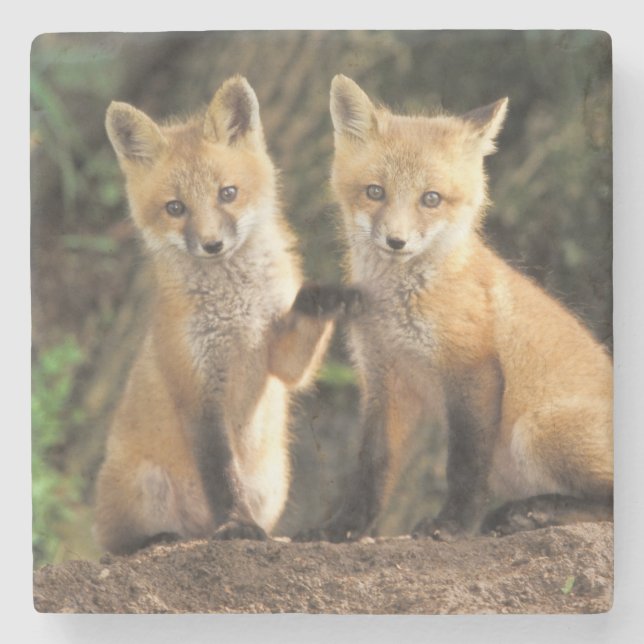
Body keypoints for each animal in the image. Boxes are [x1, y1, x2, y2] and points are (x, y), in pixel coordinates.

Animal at [94, 75, 360, 554]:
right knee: (119, 544)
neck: (236, 310)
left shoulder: (280, 359)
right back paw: (161, 539)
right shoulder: (198, 391)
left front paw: (323, 298)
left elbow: (298, 347)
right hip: (145, 487)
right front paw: (236, 524)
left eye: (228, 193)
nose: (212, 245)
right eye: (175, 208)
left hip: (273, 484)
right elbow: (221, 475)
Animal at [297, 75, 613, 542]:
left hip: (536, 429)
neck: (397, 309)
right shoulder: (384, 379)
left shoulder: (472, 369)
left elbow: (464, 465)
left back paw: (536, 511)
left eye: (431, 199)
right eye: (375, 192)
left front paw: (452, 525)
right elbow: (372, 466)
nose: (396, 241)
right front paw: (345, 528)